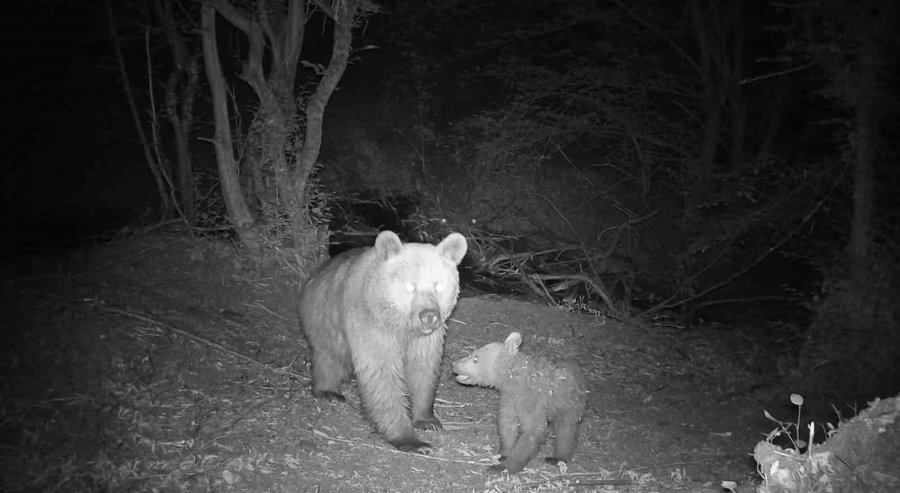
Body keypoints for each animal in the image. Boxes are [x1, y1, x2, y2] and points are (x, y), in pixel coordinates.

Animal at [302, 231, 468, 454]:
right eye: (410, 286)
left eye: (438, 284)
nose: (429, 316)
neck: (402, 327)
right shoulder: (372, 326)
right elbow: (382, 377)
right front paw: (412, 441)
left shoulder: (425, 340)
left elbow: (424, 370)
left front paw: (427, 419)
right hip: (325, 320)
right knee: (328, 357)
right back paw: (328, 391)